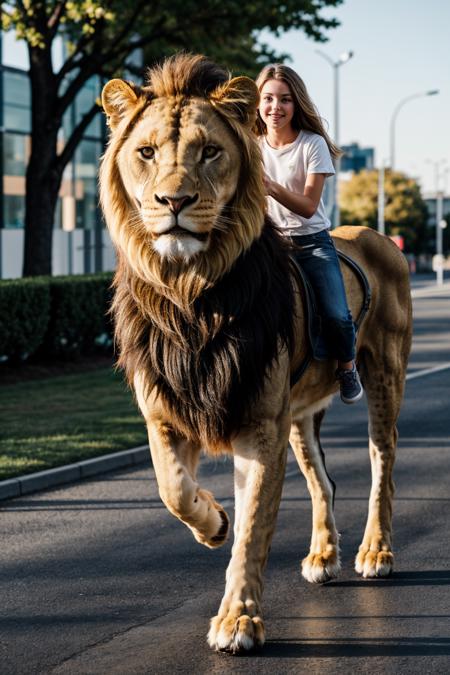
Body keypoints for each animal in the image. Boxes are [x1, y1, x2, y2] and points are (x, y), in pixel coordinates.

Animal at [100, 52, 414, 656]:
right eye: (146, 153)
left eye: (209, 151)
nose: (174, 202)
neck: (191, 294)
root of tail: (376, 235)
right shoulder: (165, 412)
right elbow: (174, 490)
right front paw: (214, 522)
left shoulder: (259, 424)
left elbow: (253, 530)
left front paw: (238, 621)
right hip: (299, 412)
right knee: (323, 479)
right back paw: (322, 555)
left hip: (383, 374)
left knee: (381, 465)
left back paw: (375, 551)